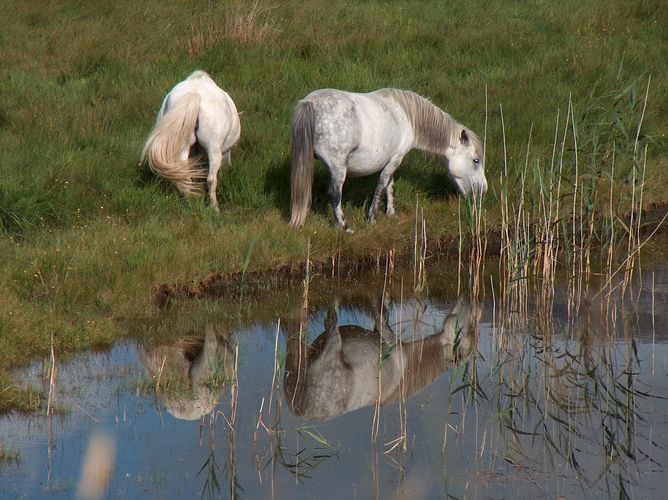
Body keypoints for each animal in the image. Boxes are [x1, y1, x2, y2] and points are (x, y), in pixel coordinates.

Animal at [142, 70, 241, 209]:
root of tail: (195, 94)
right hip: (213, 149)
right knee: (211, 179)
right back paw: (214, 207)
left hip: (183, 147)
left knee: (185, 175)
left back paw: (189, 202)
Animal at [284, 296, 478, 422]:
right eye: (470, 330)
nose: (470, 303)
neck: (408, 362)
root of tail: (300, 406)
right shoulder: (388, 337)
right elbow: (378, 313)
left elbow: (383, 307)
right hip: (332, 342)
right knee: (331, 319)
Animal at [290, 87, 488, 230]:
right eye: (476, 161)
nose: (483, 190)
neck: (407, 115)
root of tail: (310, 102)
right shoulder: (396, 158)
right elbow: (382, 183)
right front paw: (372, 217)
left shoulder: (391, 158)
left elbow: (389, 185)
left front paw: (390, 213)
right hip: (338, 168)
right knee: (335, 195)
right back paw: (345, 227)